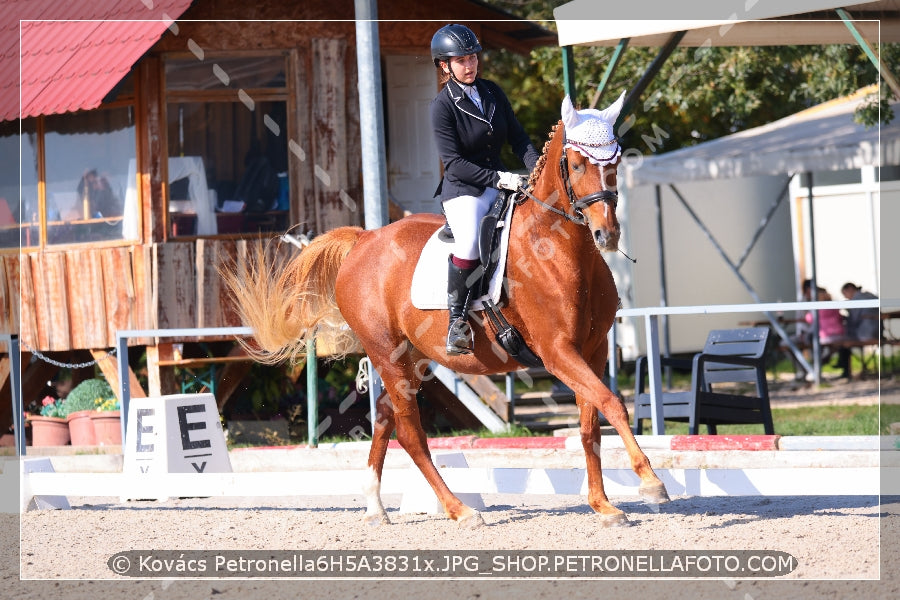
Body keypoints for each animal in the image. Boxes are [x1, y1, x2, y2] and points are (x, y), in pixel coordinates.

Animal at [222, 94, 672, 524]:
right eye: (577, 164)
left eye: (615, 161)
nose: (606, 234)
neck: (559, 248)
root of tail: (365, 239)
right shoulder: (557, 352)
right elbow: (611, 404)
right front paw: (650, 482)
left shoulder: (592, 351)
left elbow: (590, 424)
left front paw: (604, 506)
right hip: (386, 353)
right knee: (410, 433)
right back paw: (459, 509)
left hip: (415, 357)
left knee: (384, 416)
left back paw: (375, 506)